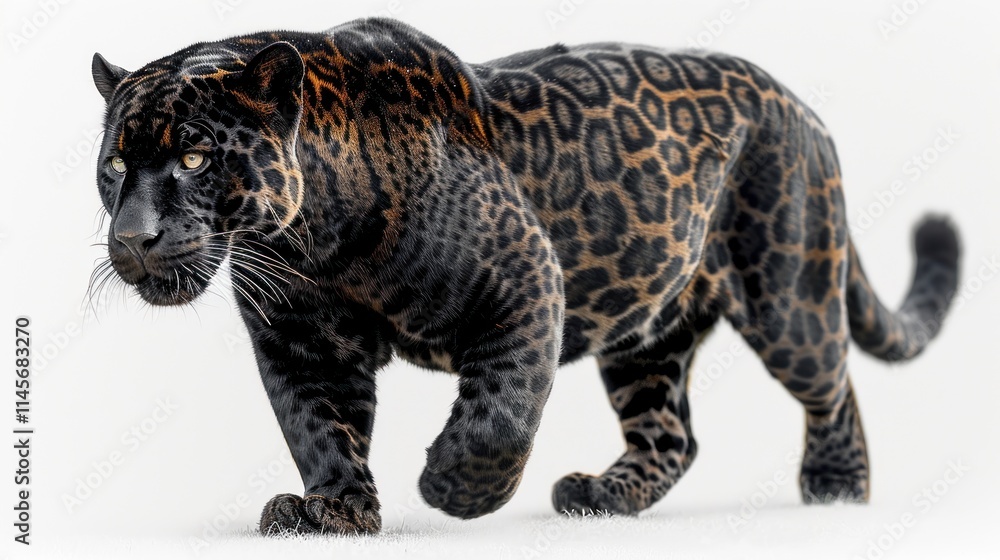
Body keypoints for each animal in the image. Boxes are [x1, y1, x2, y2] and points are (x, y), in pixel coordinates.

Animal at [90, 17, 960, 535]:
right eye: (116, 166)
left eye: (195, 157)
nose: (133, 238)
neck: (312, 243)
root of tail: (803, 108)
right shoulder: (301, 344)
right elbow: (318, 428)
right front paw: (333, 510)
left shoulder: (523, 278)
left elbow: (502, 413)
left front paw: (454, 490)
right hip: (648, 339)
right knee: (671, 434)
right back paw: (604, 497)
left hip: (789, 293)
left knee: (832, 382)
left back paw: (836, 487)